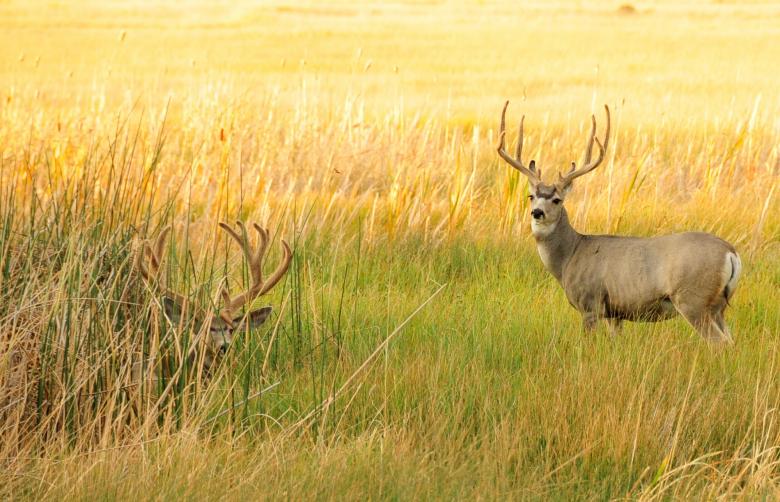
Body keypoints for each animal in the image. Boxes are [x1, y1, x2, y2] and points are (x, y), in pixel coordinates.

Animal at [497, 102, 742, 343]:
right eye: (531, 196)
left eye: (557, 200)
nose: (537, 212)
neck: (569, 256)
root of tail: (730, 253)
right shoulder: (614, 313)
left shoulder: (590, 302)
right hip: (717, 306)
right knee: (730, 340)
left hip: (693, 299)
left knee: (719, 343)